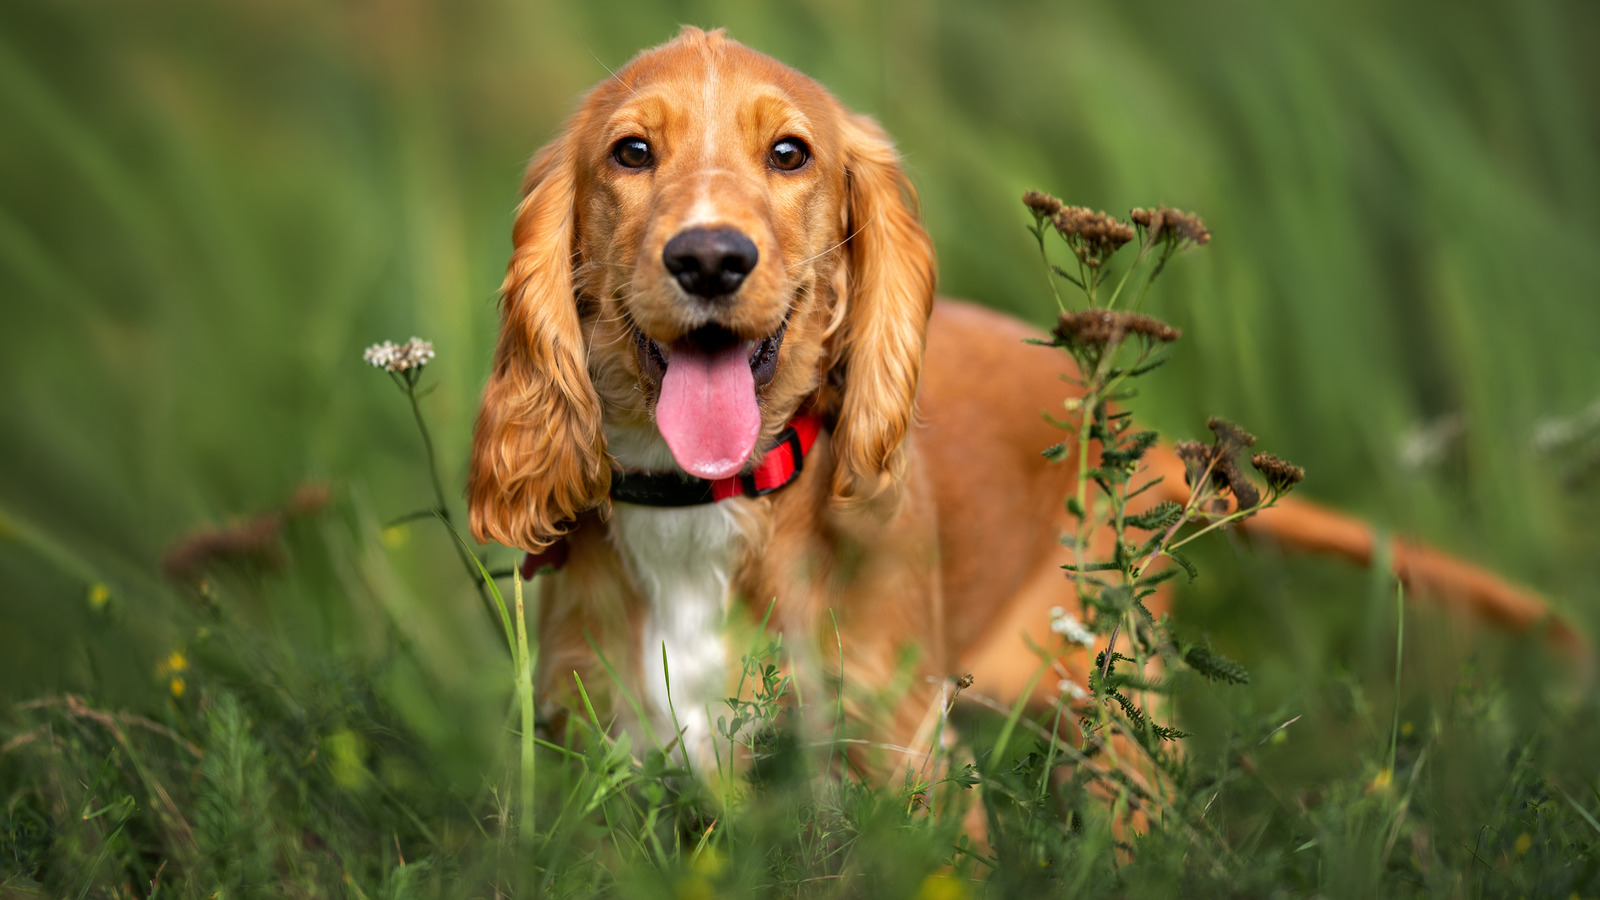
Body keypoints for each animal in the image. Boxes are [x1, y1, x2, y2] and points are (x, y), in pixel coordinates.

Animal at [467, 26, 1580, 771]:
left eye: (789, 153)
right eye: (631, 152)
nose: (708, 257)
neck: (706, 506)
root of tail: (1146, 441)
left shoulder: (903, 768)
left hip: (1110, 704)